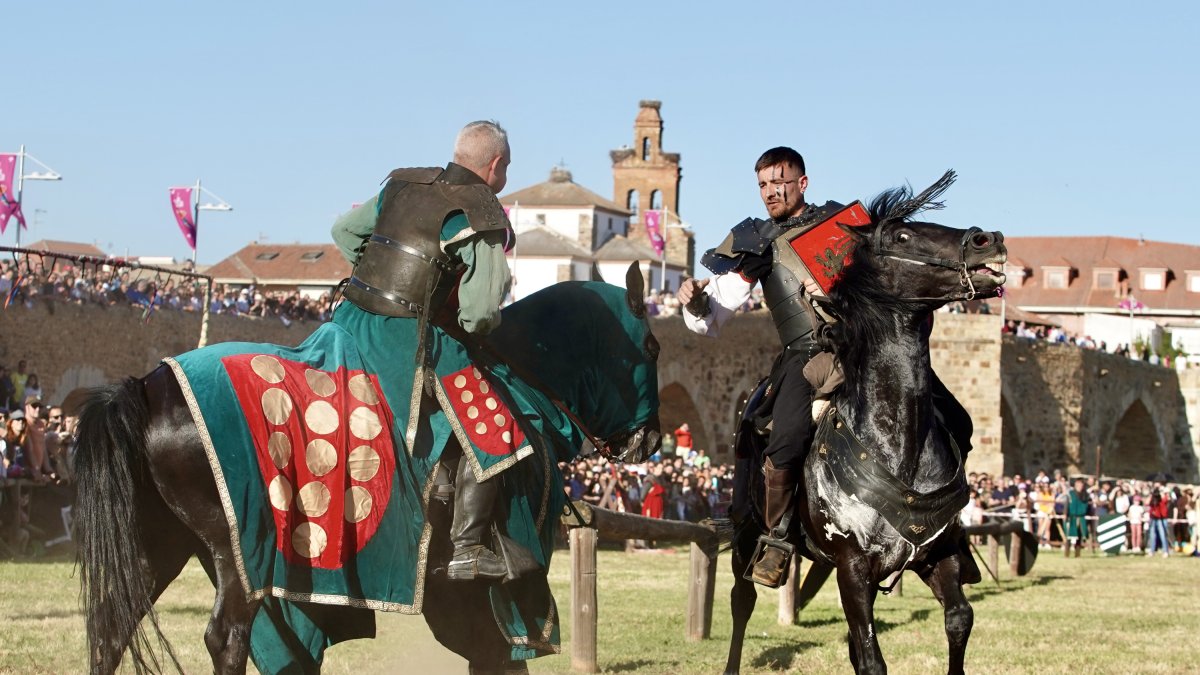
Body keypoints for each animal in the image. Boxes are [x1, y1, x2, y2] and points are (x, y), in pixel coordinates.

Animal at [72, 269, 667, 672]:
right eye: (652, 344)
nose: (651, 441)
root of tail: (146, 388)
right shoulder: (498, 591)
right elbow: (499, 651)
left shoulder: (452, 596)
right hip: (240, 552)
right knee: (226, 638)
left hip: (161, 543)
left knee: (110, 628)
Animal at [724, 170, 1008, 667]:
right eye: (901, 235)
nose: (986, 240)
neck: (898, 446)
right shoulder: (852, 567)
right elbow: (873, 658)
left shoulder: (938, 555)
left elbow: (959, 619)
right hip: (746, 530)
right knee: (742, 602)